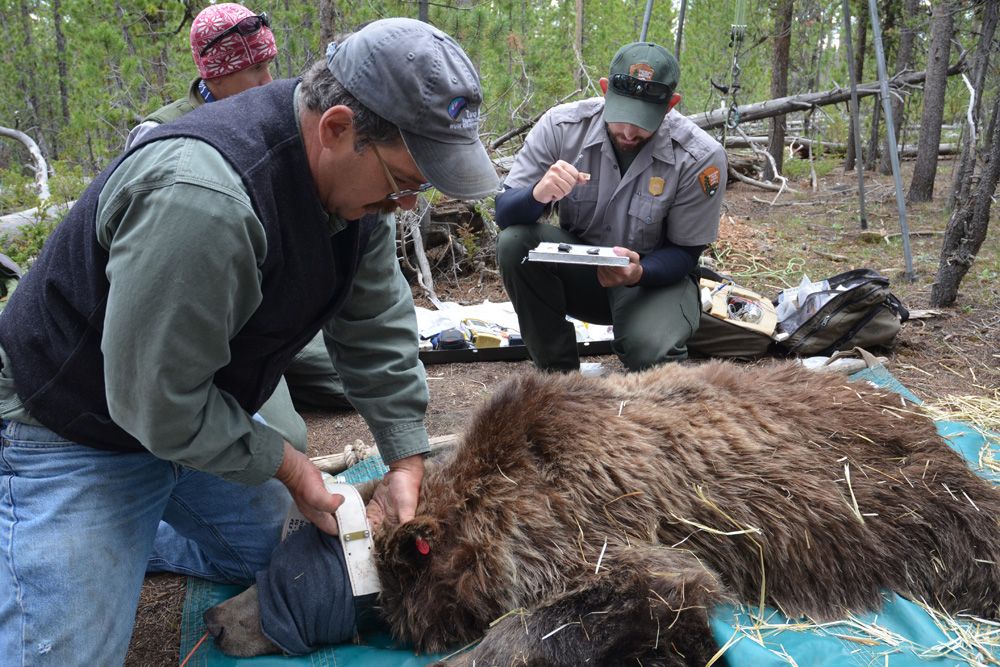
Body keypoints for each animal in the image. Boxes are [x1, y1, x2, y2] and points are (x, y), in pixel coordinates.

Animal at [205, 362, 1000, 664]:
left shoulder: (594, 526)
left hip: (919, 502)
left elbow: (632, 593)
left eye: (294, 582)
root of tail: (922, 415)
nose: (215, 619)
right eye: (281, 555)